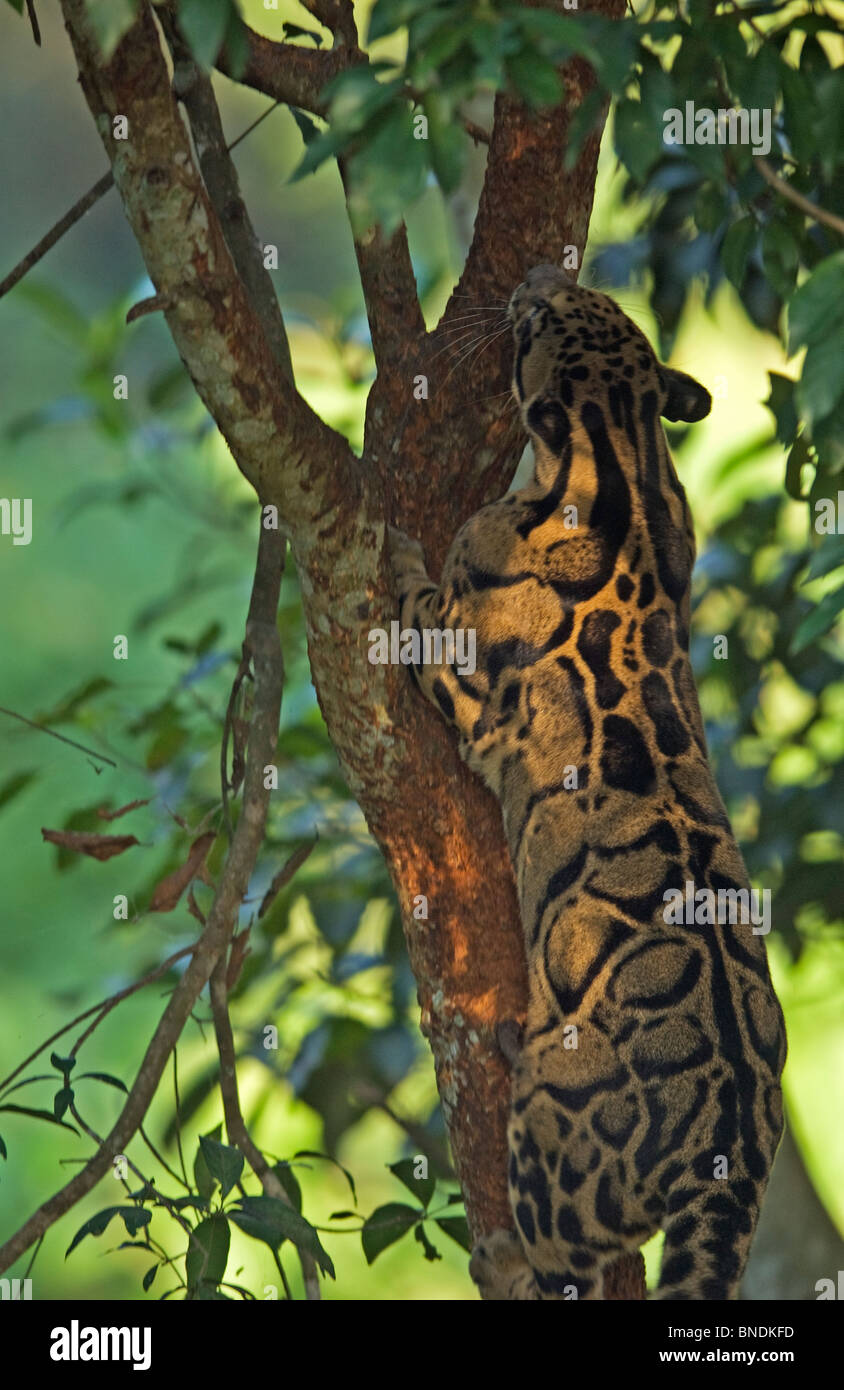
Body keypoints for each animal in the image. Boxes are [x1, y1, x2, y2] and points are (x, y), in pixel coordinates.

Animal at [388, 264, 786, 1301]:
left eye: (541, 317)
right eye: (591, 298)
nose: (534, 278)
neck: (626, 457)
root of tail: (732, 1163)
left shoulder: (469, 670)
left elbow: (413, 605)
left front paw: (391, 551)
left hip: (551, 1132)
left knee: (561, 1266)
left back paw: (500, 1256)